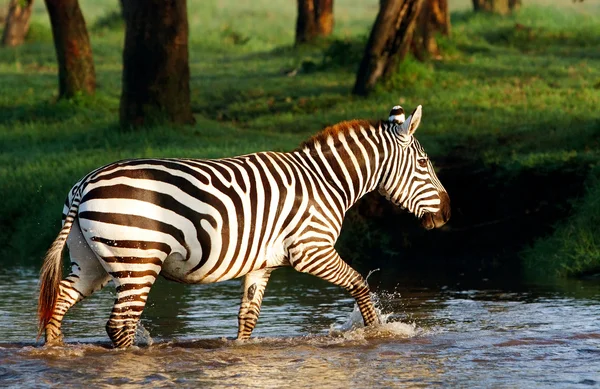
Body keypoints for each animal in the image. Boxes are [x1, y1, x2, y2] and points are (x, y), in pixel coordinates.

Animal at [37, 104, 450, 348]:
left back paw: (56, 353)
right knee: (119, 324)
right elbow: (360, 284)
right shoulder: (311, 250)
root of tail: (85, 183)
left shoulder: (262, 262)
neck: (325, 181)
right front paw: (375, 333)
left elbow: (248, 318)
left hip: (92, 261)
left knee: (58, 304)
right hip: (137, 260)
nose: (447, 213)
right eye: (424, 164)